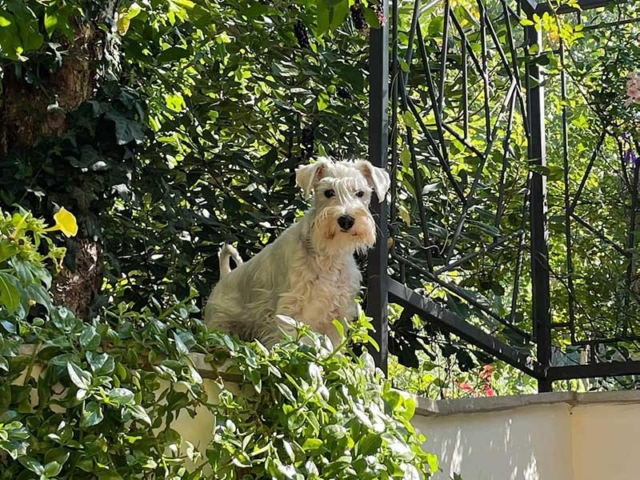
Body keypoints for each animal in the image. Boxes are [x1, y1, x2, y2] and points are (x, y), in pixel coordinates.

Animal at [204, 158, 390, 348]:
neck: (328, 255)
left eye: (360, 193)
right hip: (219, 324)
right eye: (328, 192)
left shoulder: (335, 318)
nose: (346, 220)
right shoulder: (291, 311)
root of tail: (224, 275)